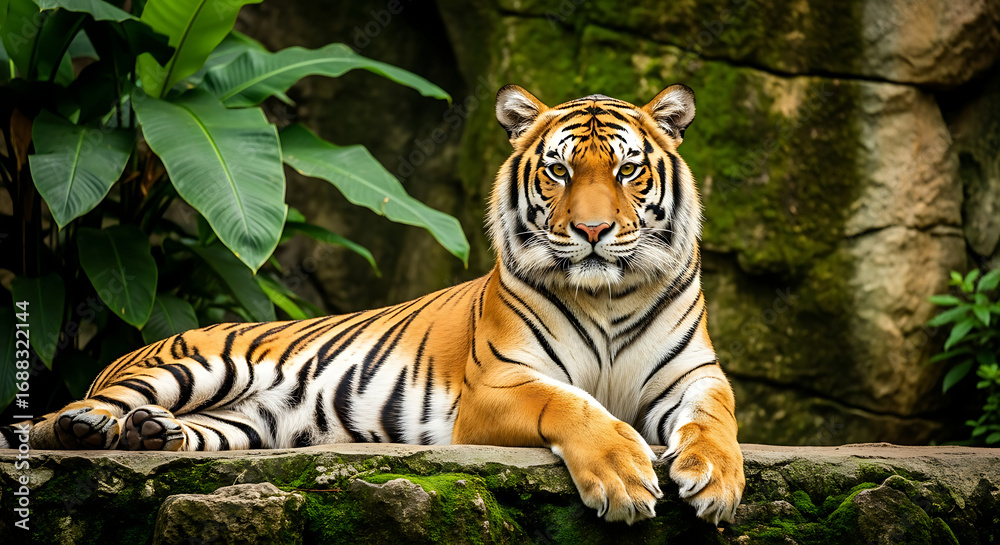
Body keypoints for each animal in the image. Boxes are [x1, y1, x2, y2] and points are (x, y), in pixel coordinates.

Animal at [2, 84, 744, 525]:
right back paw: (91, 430)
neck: (607, 292)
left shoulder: (692, 376)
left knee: (184, 430)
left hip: (246, 425)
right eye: (560, 171)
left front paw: (716, 478)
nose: (591, 231)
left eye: (627, 170)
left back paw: (154, 435)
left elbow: (717, 420)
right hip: (193, 365)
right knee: (59, 414)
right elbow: (572, 406)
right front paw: (625, 476)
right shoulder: (501, 382)